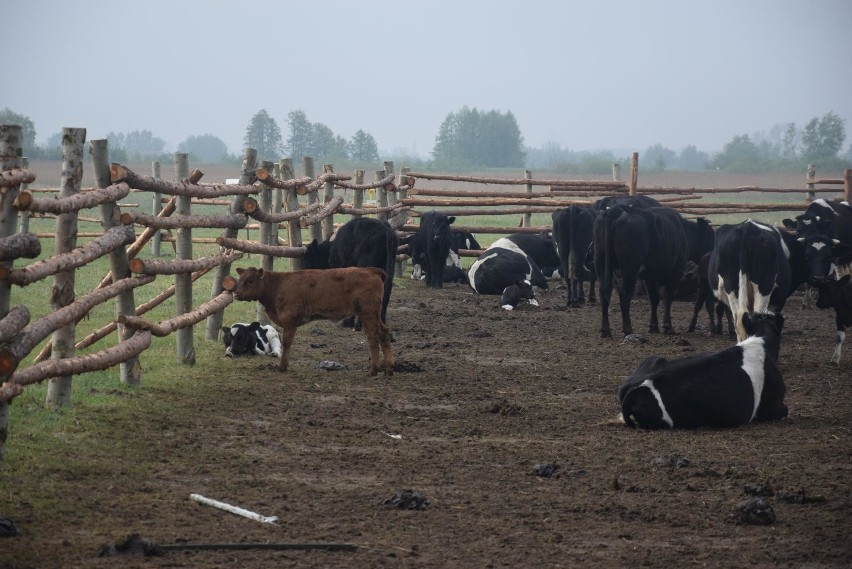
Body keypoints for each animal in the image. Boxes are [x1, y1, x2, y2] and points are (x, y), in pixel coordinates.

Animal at [596, 205, 688, 336]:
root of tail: (617, 209)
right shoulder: (675, 271)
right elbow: (667, 298)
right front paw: (667, 326)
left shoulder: (649, 276)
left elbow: (654, 299)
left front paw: (653, 326)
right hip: (629, 268)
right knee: (624, 294)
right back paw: (628, 329)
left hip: (601, 264)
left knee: (603, 294)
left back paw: (605, 330)